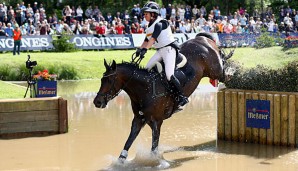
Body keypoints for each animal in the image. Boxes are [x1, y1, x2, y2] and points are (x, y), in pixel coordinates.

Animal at [93, 32, 233, 162]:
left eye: (110, 80)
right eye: (101, 80)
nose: (97, 102)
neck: (145, 89)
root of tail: (202, 39)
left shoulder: (157, 122)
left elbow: (154, 147)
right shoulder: (138, 119)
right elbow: (128, 142)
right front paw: (121, 161)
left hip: (215, 71)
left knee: (223, 69)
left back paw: (230, 61)